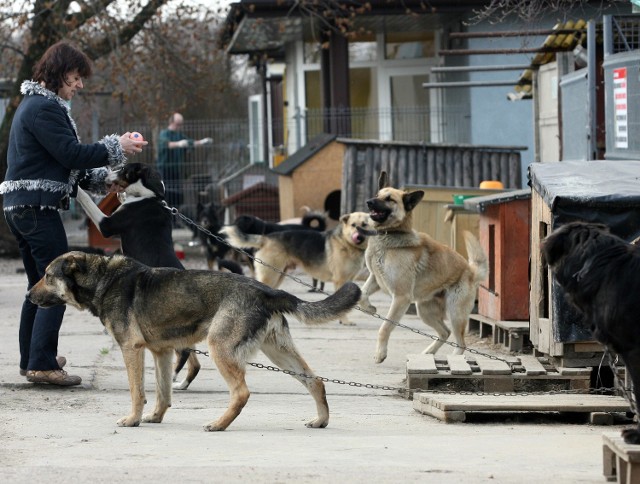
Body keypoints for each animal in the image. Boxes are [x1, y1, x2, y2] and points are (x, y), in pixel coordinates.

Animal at [28, 251, 360, 430]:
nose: (28, 296)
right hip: (279, 354)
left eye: (47, 275)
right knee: (316, 381)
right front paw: (154, 417)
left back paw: (219, 424)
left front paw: (133, 419)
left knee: (241, 393)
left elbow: (137, 392)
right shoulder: (161, 353)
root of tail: (267, 290)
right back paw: (320, 421)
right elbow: (162, 393)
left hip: (220, 349)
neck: (103, 279)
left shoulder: (131, 350)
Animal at [222, 212, 370, 326]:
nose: (359, 236)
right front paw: (345, 321)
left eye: (364, 225)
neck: (347, 243)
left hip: (278, 275)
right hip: (271, 275)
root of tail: (266, 238)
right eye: (353, 225)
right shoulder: (340, 280)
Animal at [358, 173, 488, 364]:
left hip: (455, 314)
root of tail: (470, 271)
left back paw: (454, 359)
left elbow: (385, 327)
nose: (368, 202)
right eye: (377, 194)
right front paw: (369, 308)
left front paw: (380, 353)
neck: (391, 235)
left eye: (389, 199)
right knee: (445, 332)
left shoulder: (401, 298)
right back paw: (428, 353)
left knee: (461, 343)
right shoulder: (376, 278)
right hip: (425, 311)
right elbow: (362, 293)